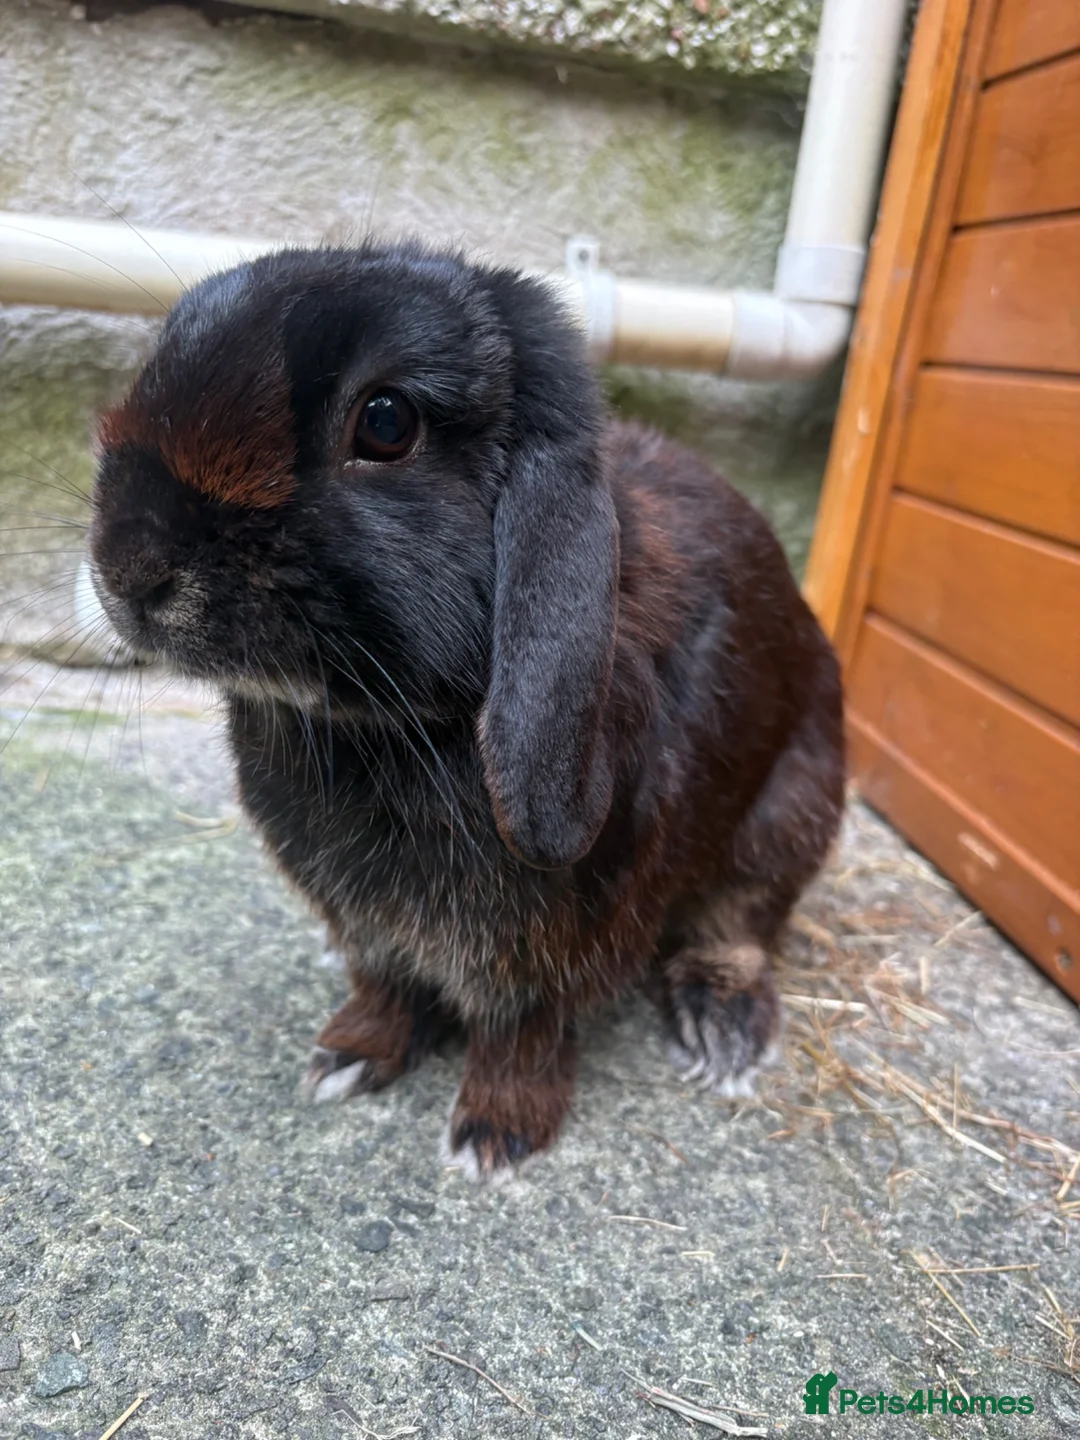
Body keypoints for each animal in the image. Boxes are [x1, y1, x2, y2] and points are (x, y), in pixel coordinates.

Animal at [88, 240, 845, 1181]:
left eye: (385, 423)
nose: (128, 567)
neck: (377, 727)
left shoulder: (551, 949)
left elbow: (521, 1031)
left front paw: (495, 1134)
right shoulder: (369, 926)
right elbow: (382, 985)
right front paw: (347, 1057)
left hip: (789, 810)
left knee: (743, 922)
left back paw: (722, 1031)